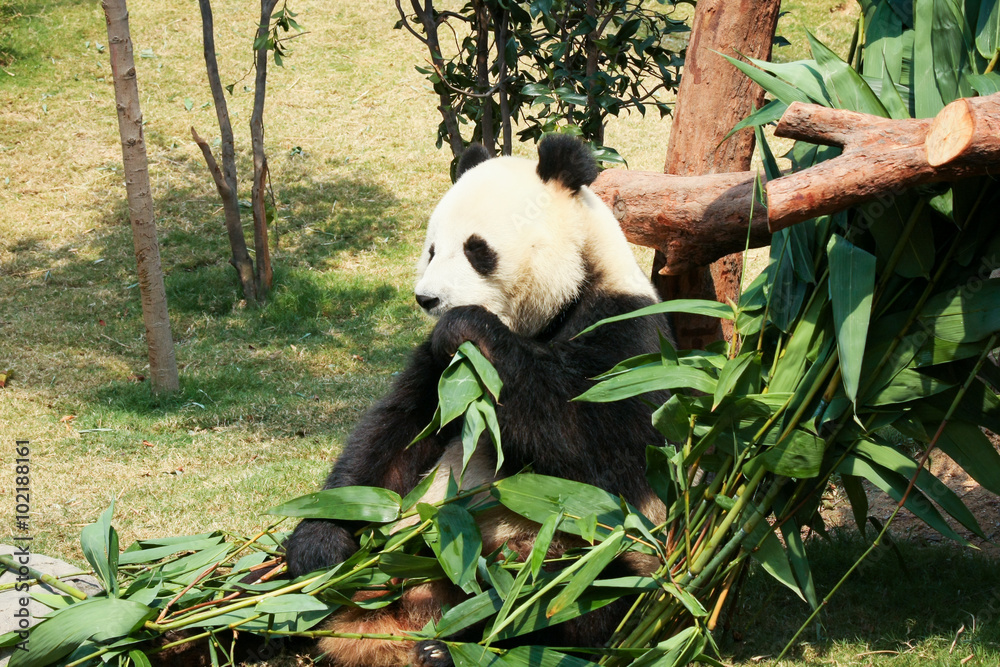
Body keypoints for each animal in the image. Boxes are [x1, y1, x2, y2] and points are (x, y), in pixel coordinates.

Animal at [283, 135, 671, 667]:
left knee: (570, 594)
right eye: (430, 250)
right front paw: (321, 545)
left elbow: (603, 447)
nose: (427, 299)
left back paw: (459, 644)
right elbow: (394, 436)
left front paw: (466, 323)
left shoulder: (626, 335)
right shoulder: (438, 367)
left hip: (582, 552)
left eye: (476, 250)